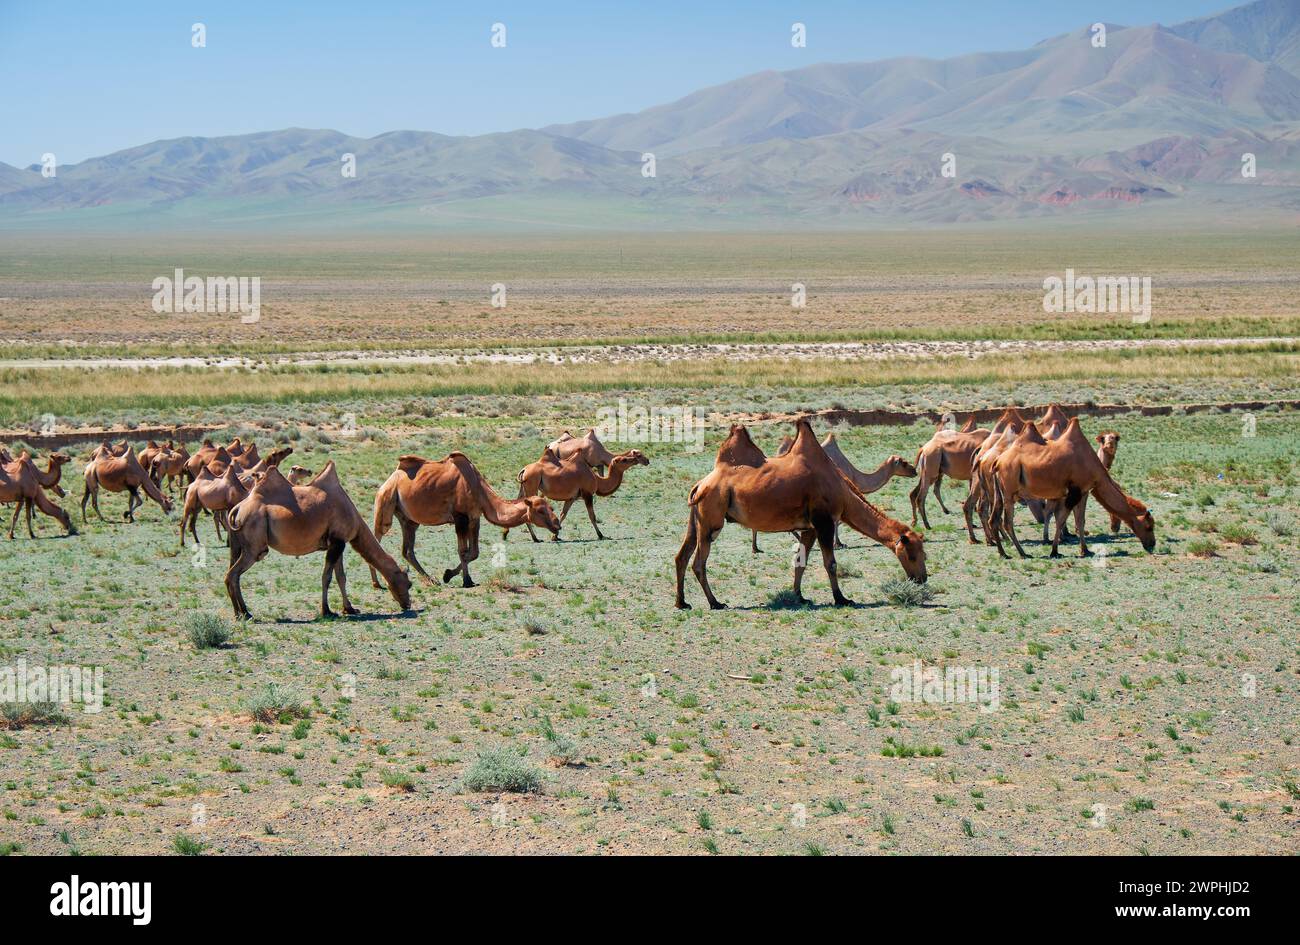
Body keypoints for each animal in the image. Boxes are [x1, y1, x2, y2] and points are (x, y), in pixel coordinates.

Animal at [220, 460, 408, 621]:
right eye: (408, 584)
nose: (407, 604)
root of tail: (238, 508)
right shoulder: (337, 542)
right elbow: (327, 577)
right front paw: (327, 611)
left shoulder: (338, 542)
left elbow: (341, 577)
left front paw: (349, 608)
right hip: (255, 546)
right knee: (233, 574)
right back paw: (244, 613)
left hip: (238, 544)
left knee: (232, 574)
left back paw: (241, 612)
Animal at [371, 452, 564, 592]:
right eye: (540, 511)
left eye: (551, 507)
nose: (557, 525)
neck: (478, 489)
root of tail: (391, 478)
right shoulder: (460, 517)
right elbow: (463, 551)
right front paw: (465, 580)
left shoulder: (474, 518)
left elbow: (474, 552)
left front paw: (447, 575)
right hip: (386, 502)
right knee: (378, 536)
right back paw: (377, 583)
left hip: (409, 519)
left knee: (407, 550)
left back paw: (432, 580)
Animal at [506, 449, 650, 540]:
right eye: (624, 459)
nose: (637, 460)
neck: (596, 479)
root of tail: (524, 470)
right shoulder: (587, 494)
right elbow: (592, 516)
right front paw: (601, 535)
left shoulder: (571, 498)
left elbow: (563, 514)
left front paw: (555, 536)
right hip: (532, 484)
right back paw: (535, 538)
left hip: (524, 488)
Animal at [676, 418, 930, 610]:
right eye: (912, 556)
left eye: (924, 555)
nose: (922, 578)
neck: (842, 489)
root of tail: (701, 484)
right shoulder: (824, 521)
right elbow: (831, 563)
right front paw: (841, 598)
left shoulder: (810, 527)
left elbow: (801, 561)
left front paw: (800, 596)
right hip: (712, 518)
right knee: (699, 563)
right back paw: (715, 603)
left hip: (697, 518)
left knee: (682, 556)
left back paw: (682, 603)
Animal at [982, 421, 1159, 561]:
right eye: (1149, 526)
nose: (1152, 544)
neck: (1093, 465)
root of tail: (997, 461)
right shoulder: (1074, 492)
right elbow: (1061, 520)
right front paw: (1054, 551)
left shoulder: (1085, 491)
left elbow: (1080, 521)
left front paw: (1085, 550)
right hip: (1009, 491)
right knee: (1007, 522)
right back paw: (1022, 553)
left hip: (1000, 492)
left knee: (994, 519)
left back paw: (1003, 553)